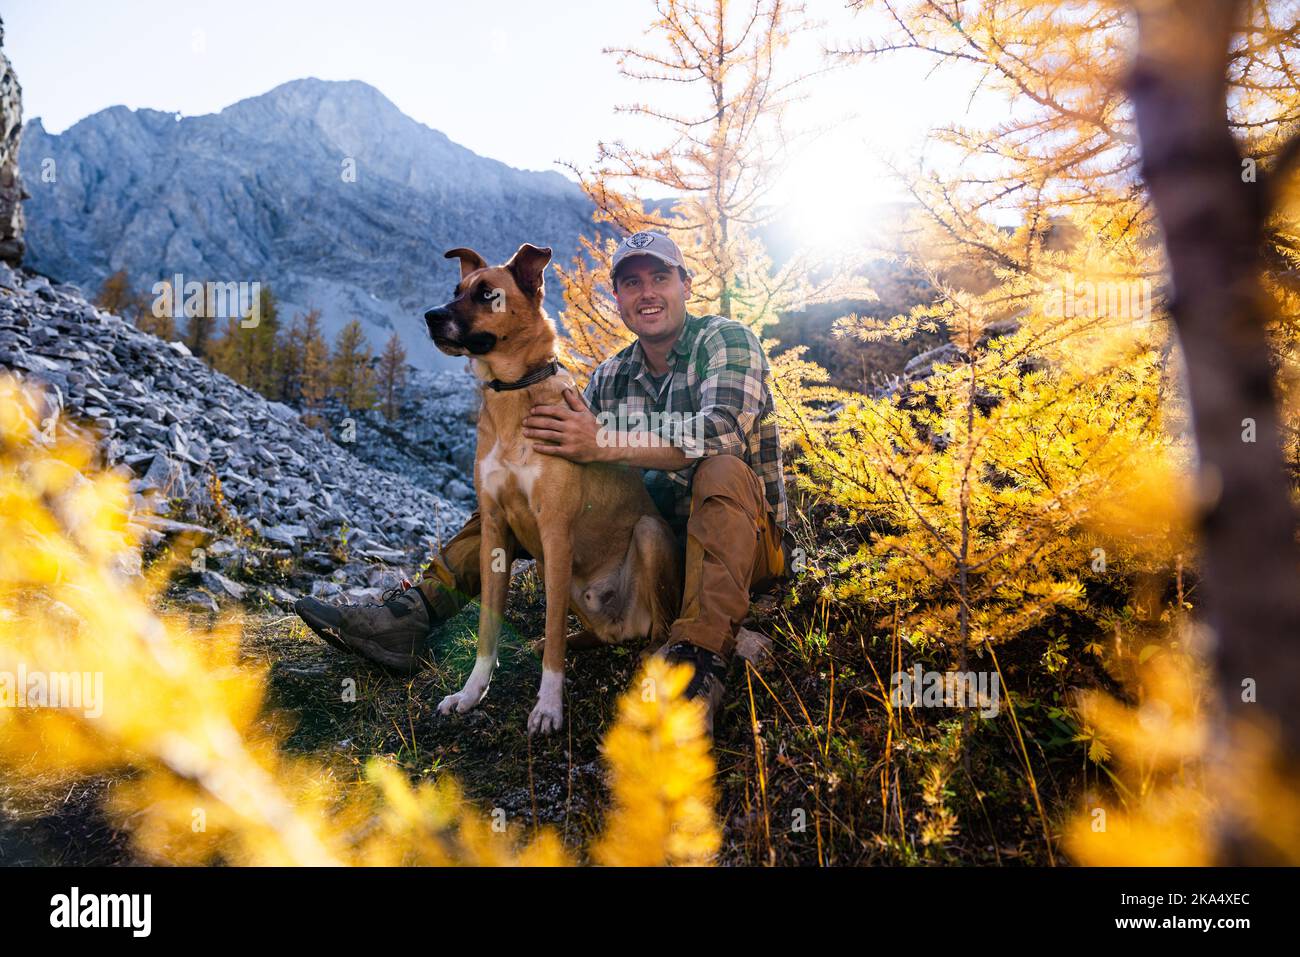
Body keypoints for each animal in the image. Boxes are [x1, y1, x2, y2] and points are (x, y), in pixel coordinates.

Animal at [421, 240, 681, 733]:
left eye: (487, 294)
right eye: (455, 291)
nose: (429, 315)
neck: (512, 393)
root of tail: (623, 625)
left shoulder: (556, 532)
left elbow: (553, 629)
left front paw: (548, 706)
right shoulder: (496, 530)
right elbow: (487, 630)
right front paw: (470, 693)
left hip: (647, 534)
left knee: (656, 628)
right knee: (593, 634)